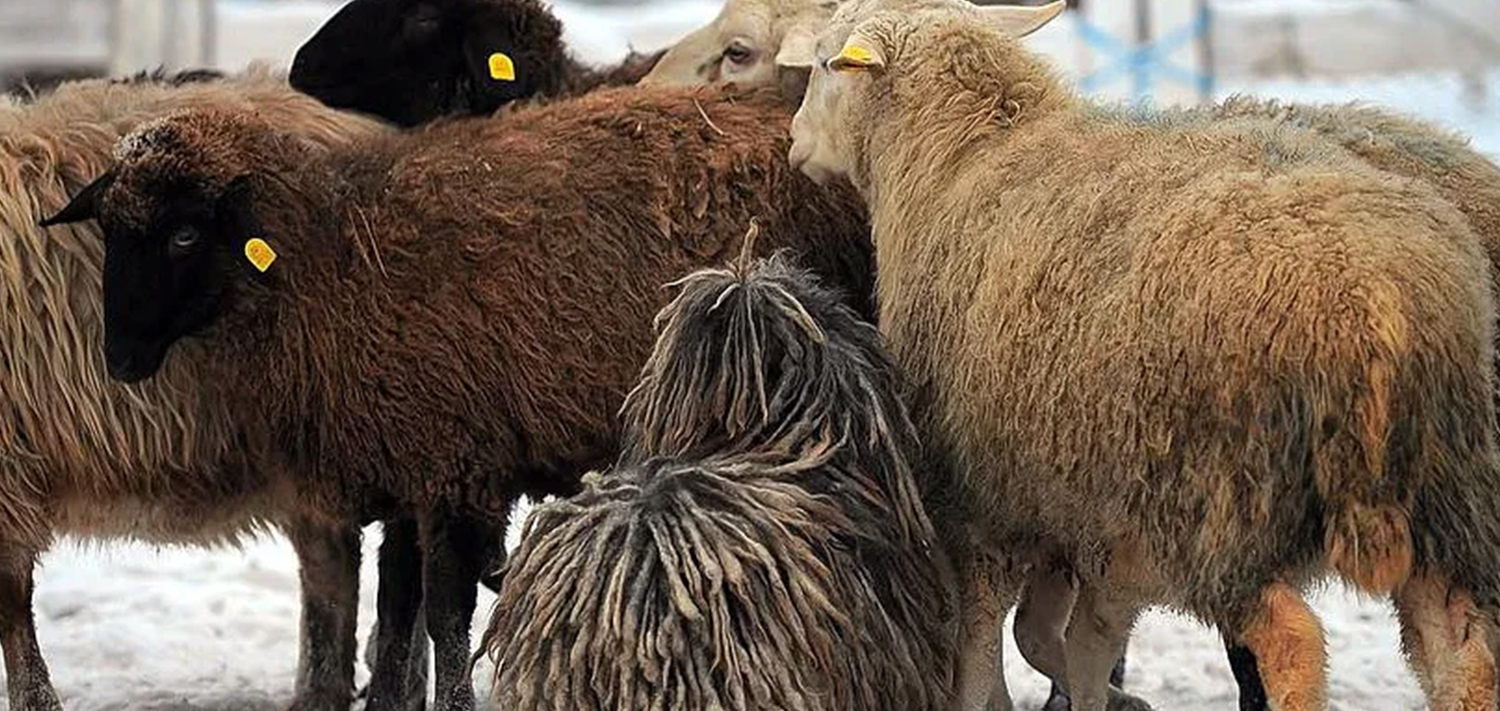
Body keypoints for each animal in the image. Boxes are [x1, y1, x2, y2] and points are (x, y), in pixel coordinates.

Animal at [46, 81, 876, 711]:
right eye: (111, 233)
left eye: (185, 234)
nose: (120, 359)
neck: (327, 259)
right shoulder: (407, 464)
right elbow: (396, 609)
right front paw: (389, 701)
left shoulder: (454, 466)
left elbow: (442, 614)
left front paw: (450, 700)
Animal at [786, 1, 1500, 711]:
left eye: (823, 62)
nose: (794, 141)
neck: (963, 159)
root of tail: (1375, 301)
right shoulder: (1095, 521)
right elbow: (1080, 637)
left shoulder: (978, 494)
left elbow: (985, 641)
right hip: (1441, 497)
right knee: (1458, 647)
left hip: (1219, 503)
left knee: (1291, 639)